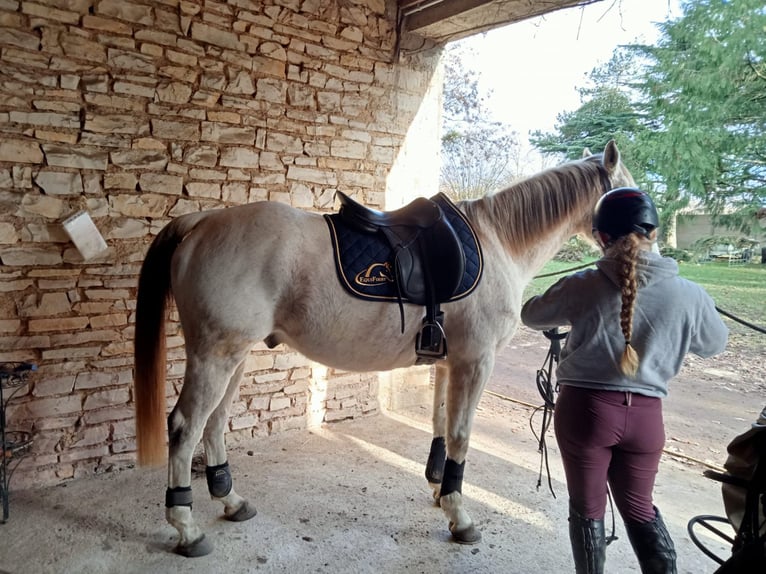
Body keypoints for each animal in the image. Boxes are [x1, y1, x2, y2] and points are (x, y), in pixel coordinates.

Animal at [134, 140, 636, 560]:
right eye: (626, 192)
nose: (647, 245)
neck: (499, 243)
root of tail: (201, 221)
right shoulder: (476, 361)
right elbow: (461, 435)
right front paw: (460, 517)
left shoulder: (449, 363)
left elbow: (441, 426)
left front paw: (441, 493)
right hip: (215, 356)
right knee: (184, 427)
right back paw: (186, 528)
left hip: (235, 357)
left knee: (214, 423)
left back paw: (232, 501)